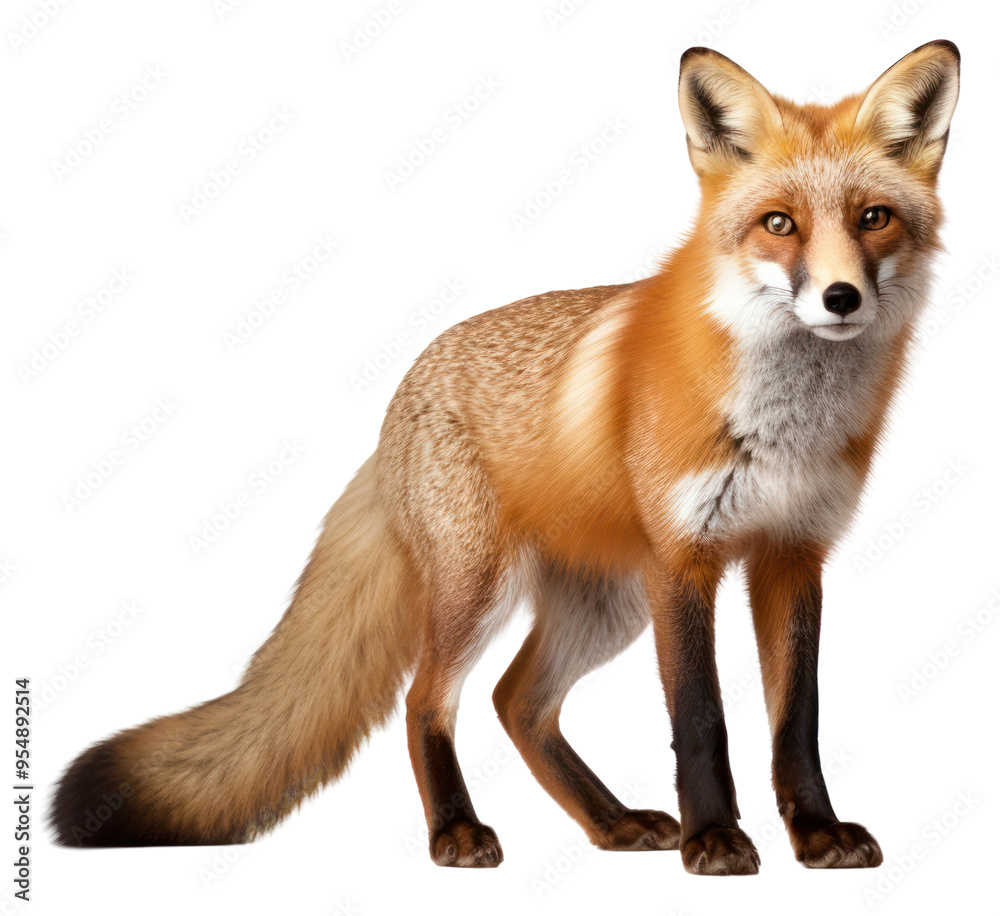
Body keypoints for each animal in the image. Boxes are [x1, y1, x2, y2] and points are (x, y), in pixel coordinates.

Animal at [52, 41, 960, 875]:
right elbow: (700, 719)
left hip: (605, 607)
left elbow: (796, 721)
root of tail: (397, 405)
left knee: (517, 702)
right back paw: (456, 832)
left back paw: (612, 823)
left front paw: (816, 835)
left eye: (874, 218)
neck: (783, 425)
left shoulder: (792, 555)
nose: (840, 298)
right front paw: (712, 841)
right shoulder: (684, 561)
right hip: (484, 588)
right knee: (429, 700)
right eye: (779, 224)